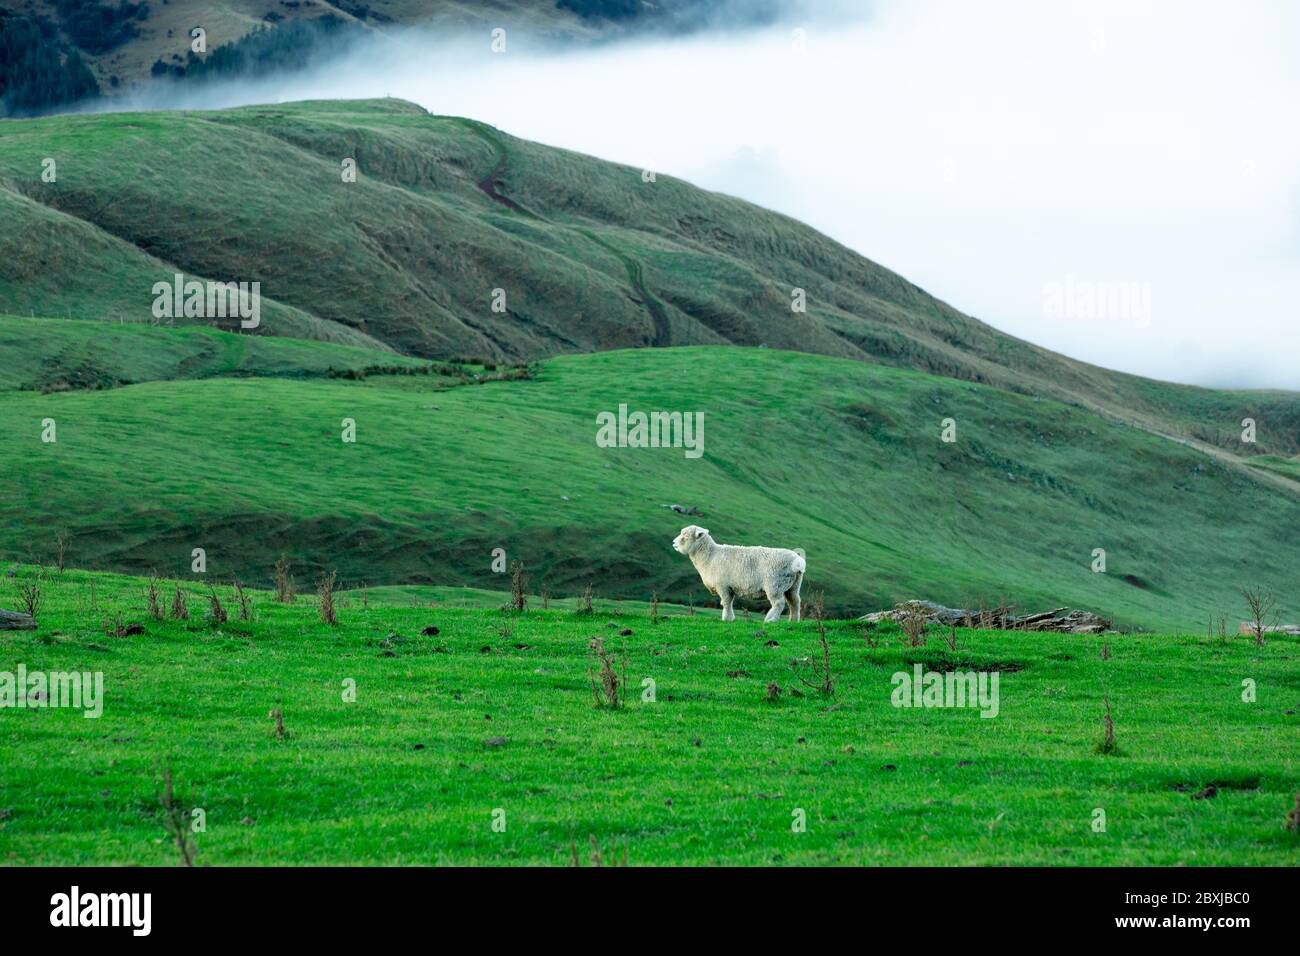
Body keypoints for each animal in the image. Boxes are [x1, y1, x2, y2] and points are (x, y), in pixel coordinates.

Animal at [670, 528, 800, 624]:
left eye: (686, 536)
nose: (674, 543)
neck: (709, 557)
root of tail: (798, 562)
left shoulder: (722, 585)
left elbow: (726, 602)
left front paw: (726, 618)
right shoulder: (730, 587)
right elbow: (729, 602)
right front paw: (730, 618)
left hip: (775, 585)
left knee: (779, 603)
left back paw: (770, 620)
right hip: (792, 586)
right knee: (795, 602)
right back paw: (793, 621)